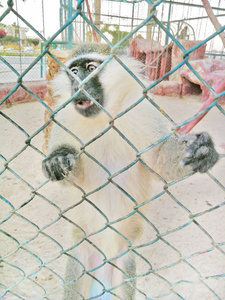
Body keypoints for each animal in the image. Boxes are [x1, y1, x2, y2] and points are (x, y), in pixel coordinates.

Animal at [41, 42, 219, 300]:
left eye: (91, 68)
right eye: (73, 71)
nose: (78, 86)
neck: (103, 120)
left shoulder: (142, 110)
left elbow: (158, 162)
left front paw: (201, 150)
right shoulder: (63, 117)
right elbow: (70, 174)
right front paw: (57, 160)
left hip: (122, 258)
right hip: (82, 254)